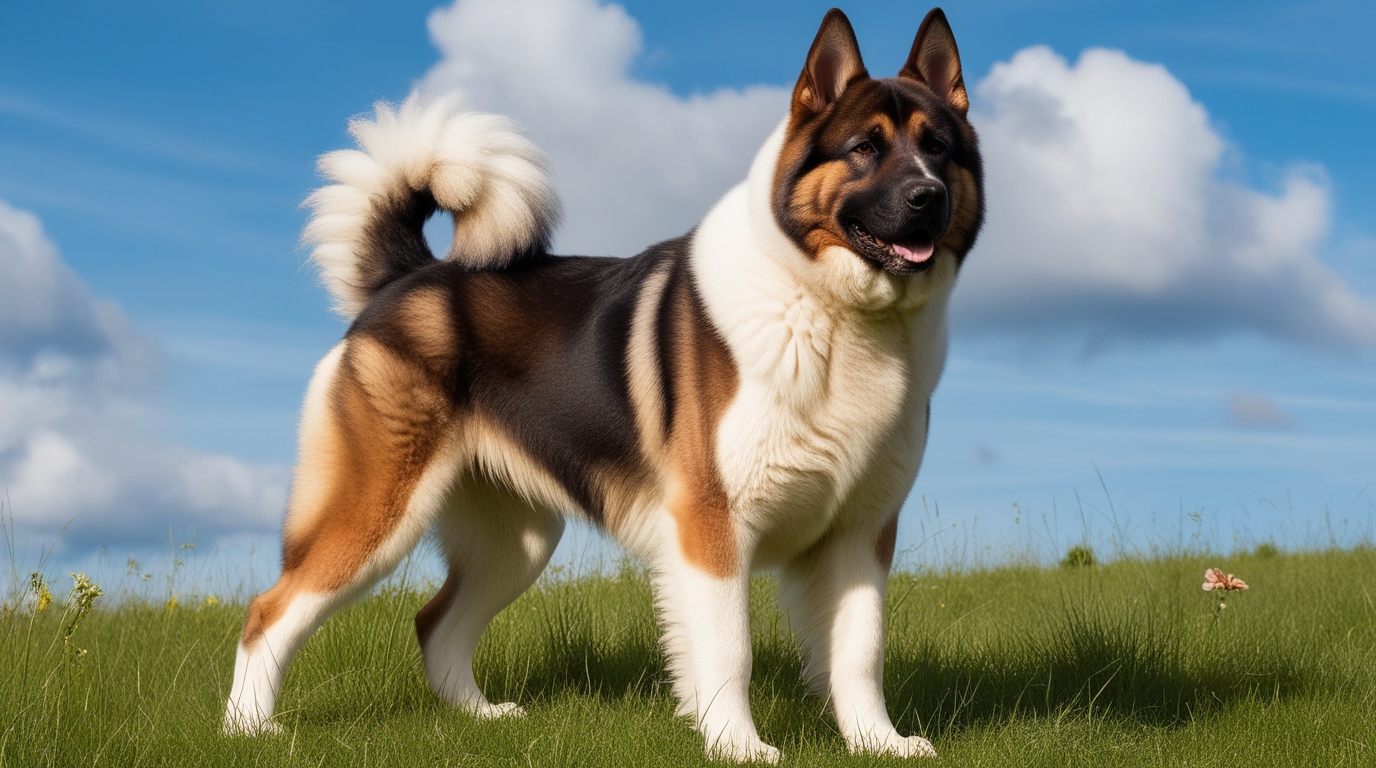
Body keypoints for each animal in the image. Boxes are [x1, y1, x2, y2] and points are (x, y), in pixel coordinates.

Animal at [225, 7, 979, 765]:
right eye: (864, 148)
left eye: (939, 149)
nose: (928, 197)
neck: (834, 313)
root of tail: (409, 275)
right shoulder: (713, 526)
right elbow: (730, 652)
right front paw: (739, 747)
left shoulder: (861, 533)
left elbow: (859, 653)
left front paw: (879, 744)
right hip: (377, 508)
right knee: (270, 610)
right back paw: (248, 729)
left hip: (518, 541)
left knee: (435, 621)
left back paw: (482, 717)